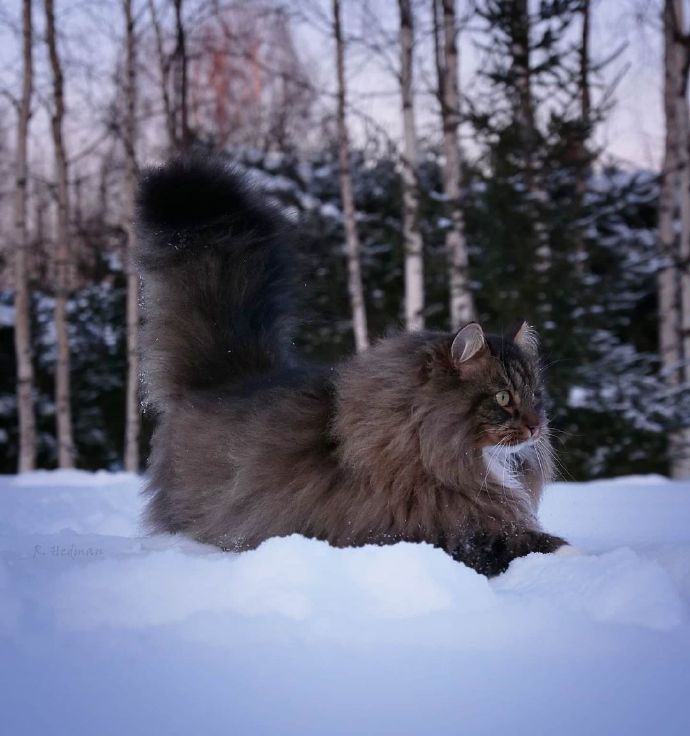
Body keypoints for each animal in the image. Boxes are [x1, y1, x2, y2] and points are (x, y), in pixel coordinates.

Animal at [134, 154, 564, 576]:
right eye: (503, 397)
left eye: (535, 395)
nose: (536, 425)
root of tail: (229, 373)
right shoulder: (436, 529)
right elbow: (529, 543)